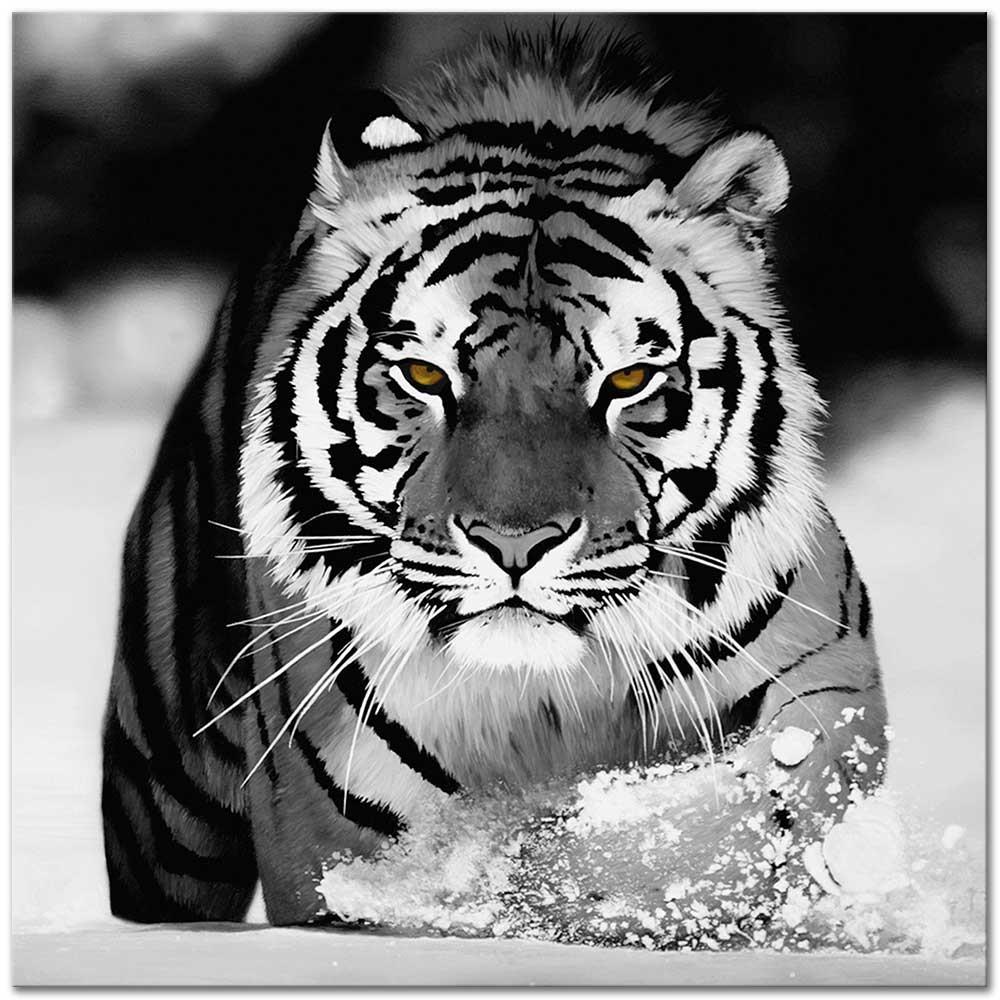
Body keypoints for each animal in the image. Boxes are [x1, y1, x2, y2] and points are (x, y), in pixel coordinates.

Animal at [101, 26, 888, 928]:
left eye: (626, 380)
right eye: (425, 375)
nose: (515, 546)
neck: (544, 699)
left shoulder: (826, 687)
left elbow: (731, 820)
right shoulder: (328, 818)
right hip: (166, 809)